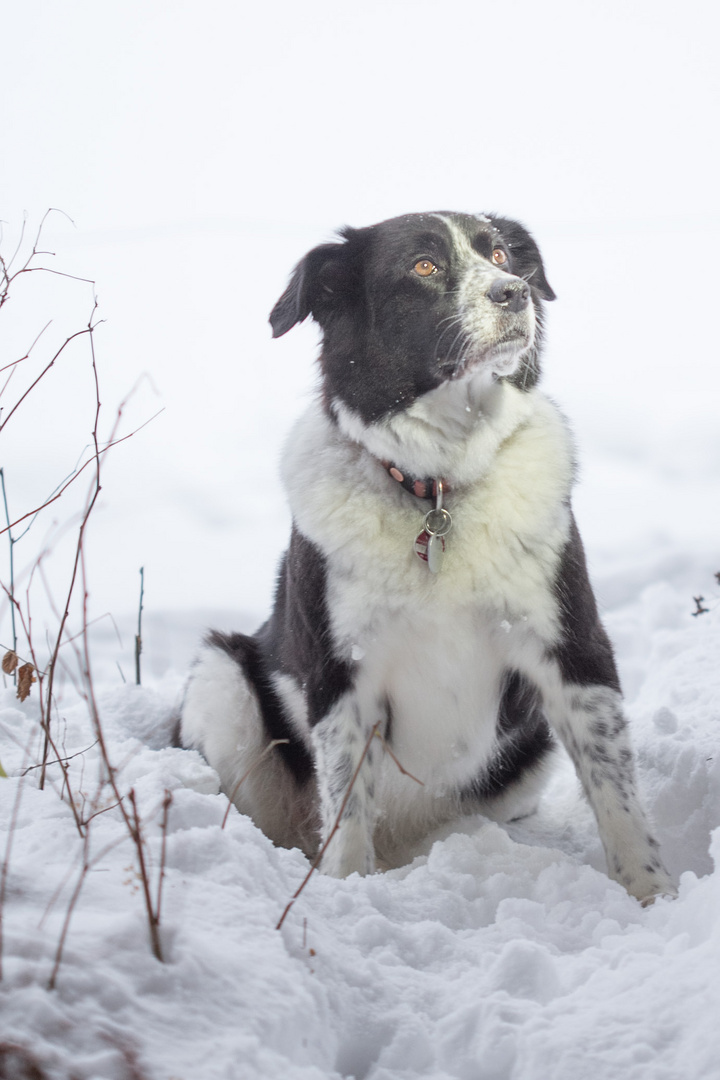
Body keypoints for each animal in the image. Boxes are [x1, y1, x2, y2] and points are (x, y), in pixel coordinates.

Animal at [180, 210, 677, 902]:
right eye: (424, 265)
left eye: (500, 254)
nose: (516, 293)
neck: (438, 487)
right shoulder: (341, 673)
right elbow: (346, 806)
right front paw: (348, 892)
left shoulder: (573, 648)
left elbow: (617, 793)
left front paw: (651, 897)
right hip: (220, 678)